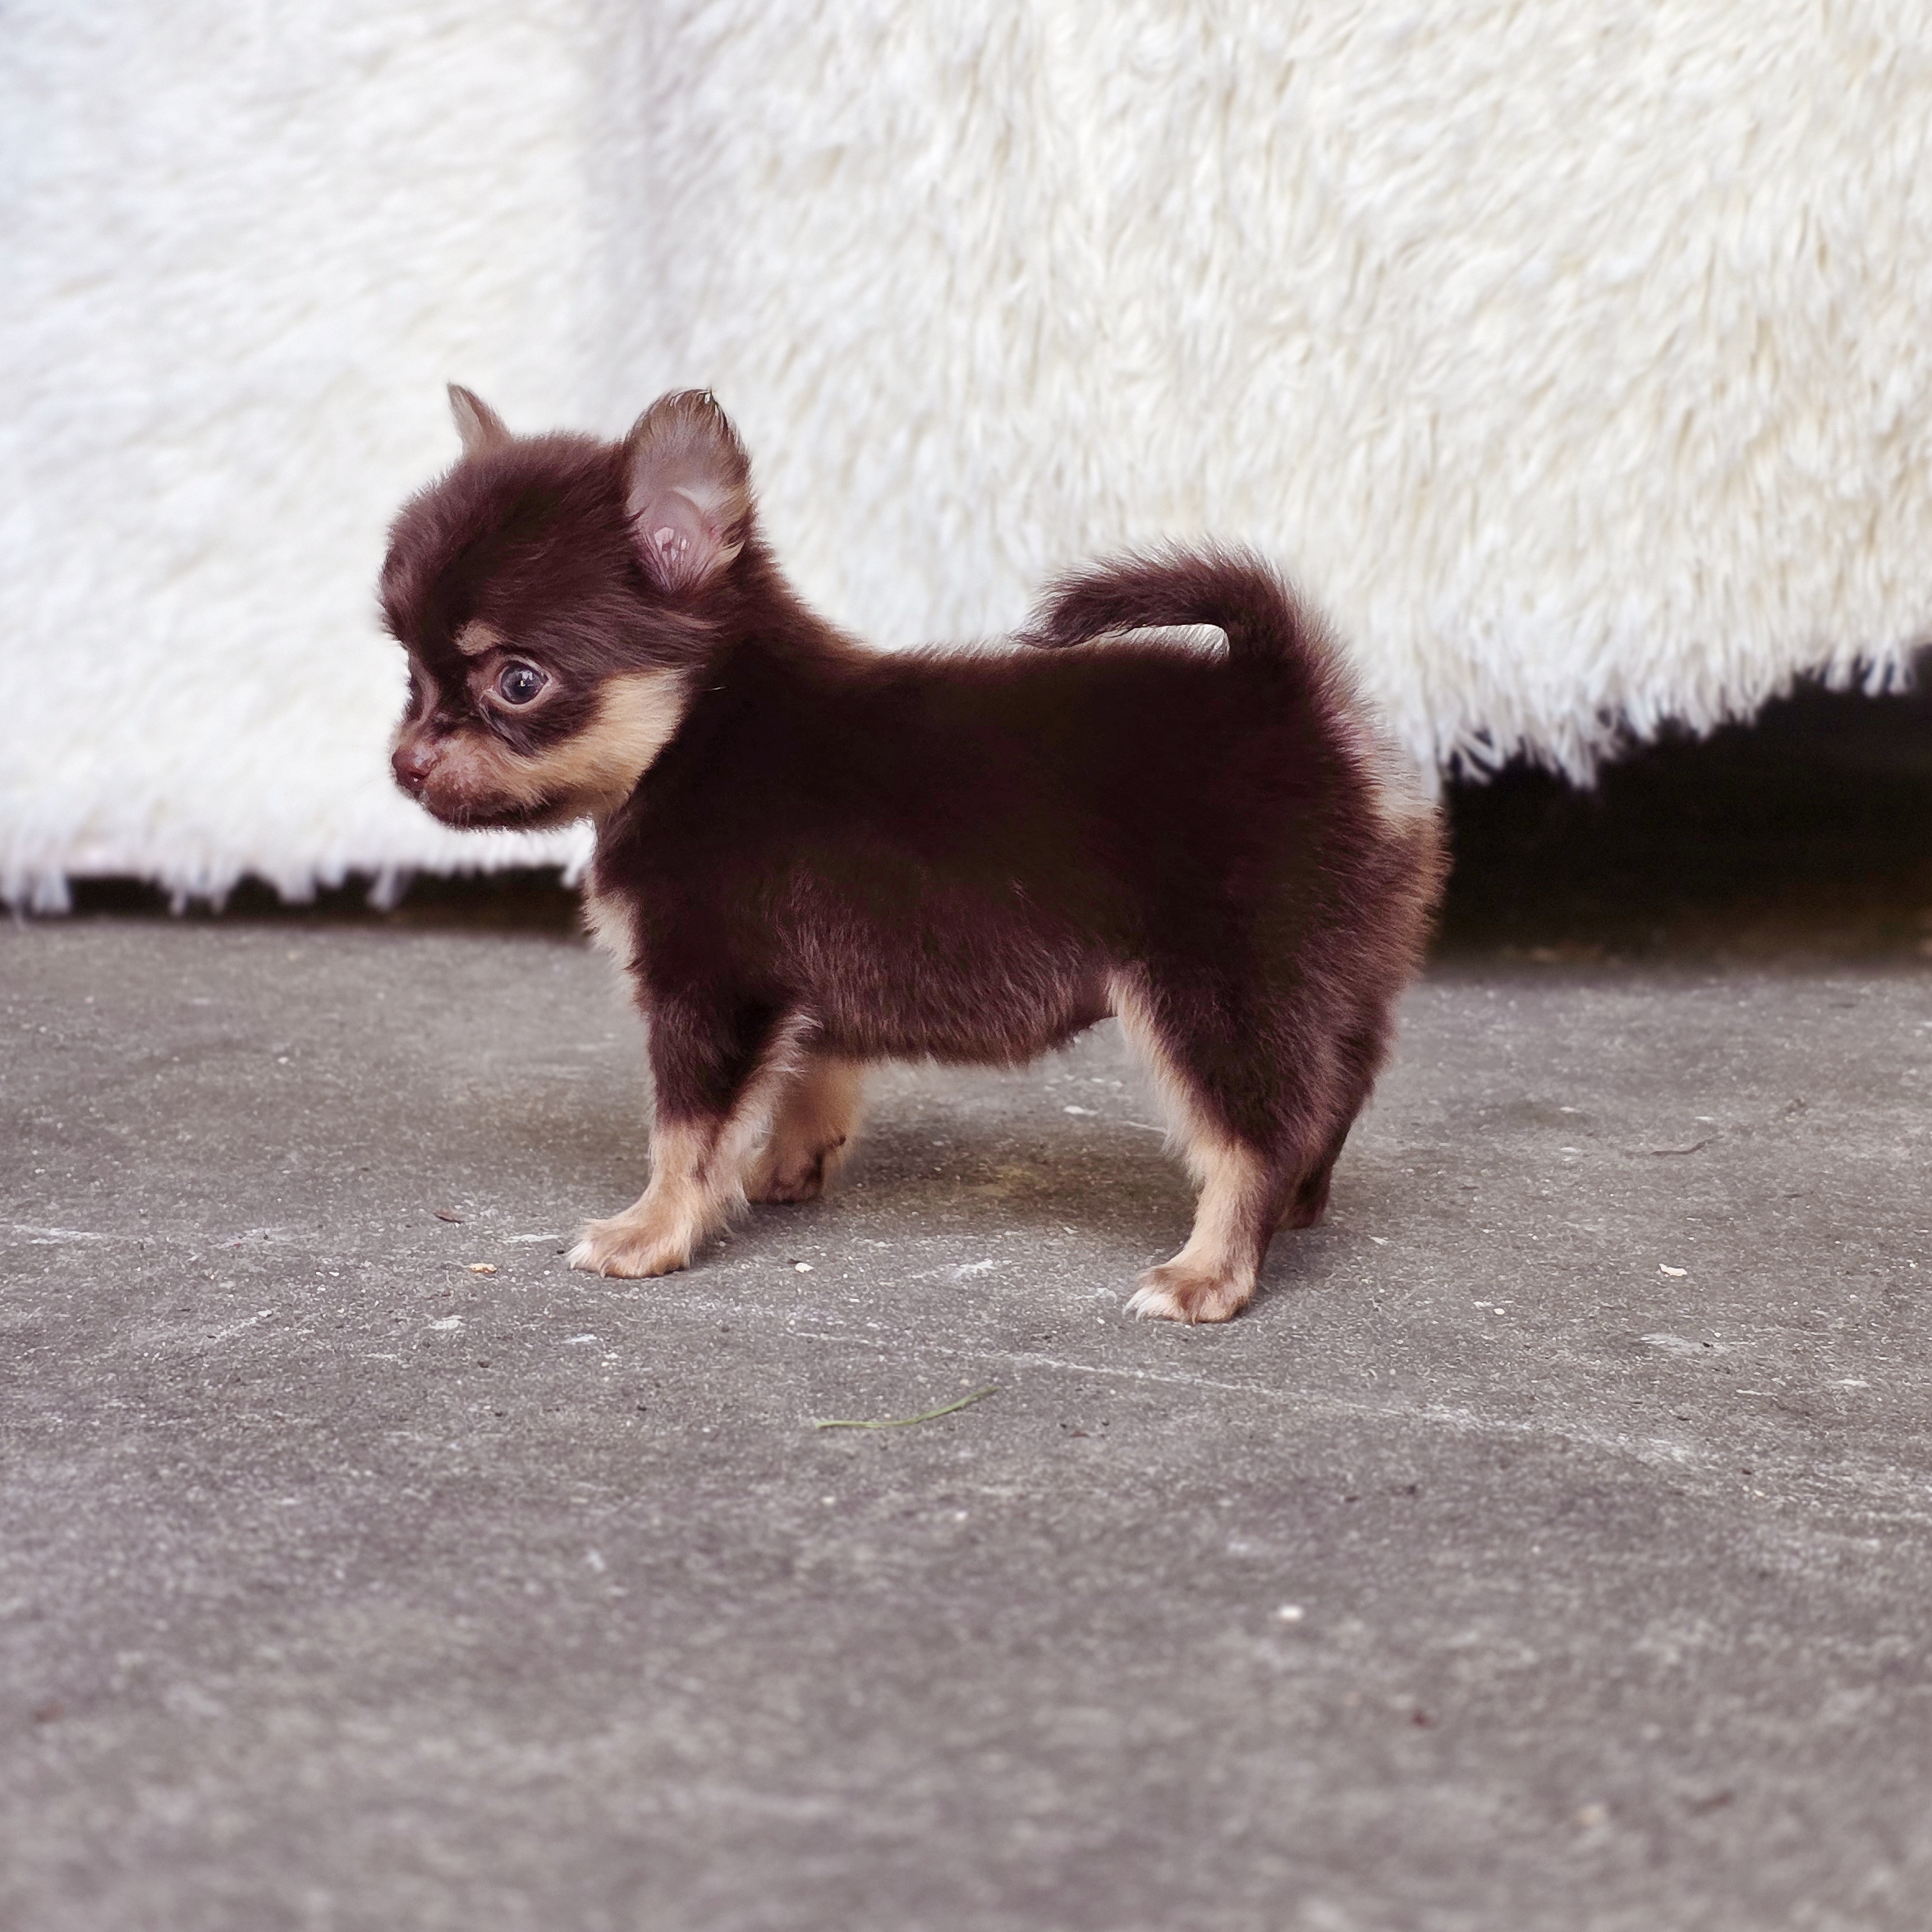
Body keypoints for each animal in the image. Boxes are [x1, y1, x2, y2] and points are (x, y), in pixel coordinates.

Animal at [381, 386, 1445, 1321]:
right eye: (410, 671)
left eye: (518, 681)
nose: (403, 761)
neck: (699, 727)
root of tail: (1296, 701)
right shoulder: (795, 994)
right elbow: (802, 1085)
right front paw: (776, 1173)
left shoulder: (709, 986)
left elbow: (682, 1132)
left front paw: (653, 1229)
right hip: (1335, 977)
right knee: (1329, 1096)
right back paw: (1298, 1208)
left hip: (1214, 995)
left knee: (1252, 1137)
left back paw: (1208, 1273)